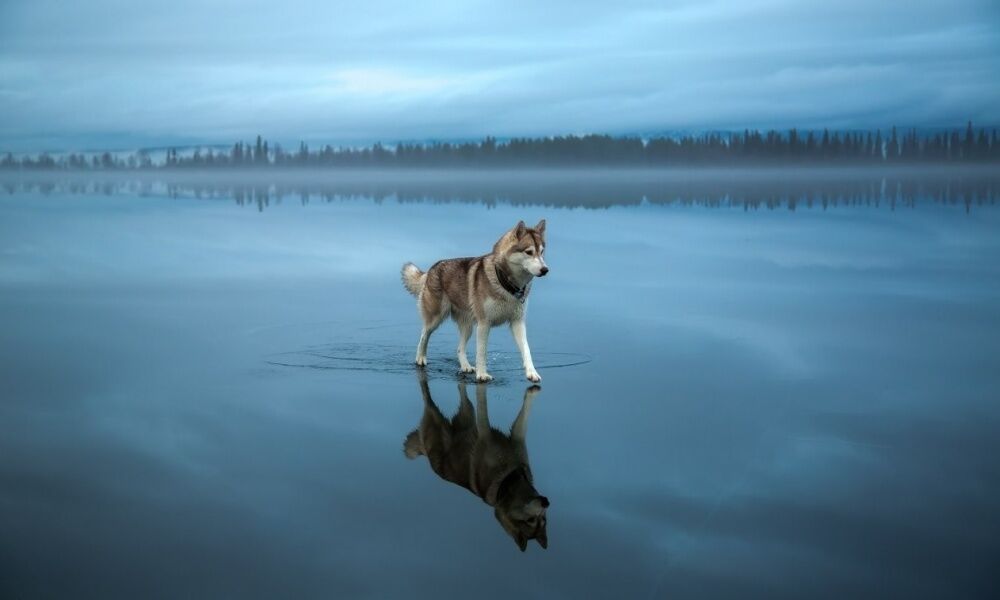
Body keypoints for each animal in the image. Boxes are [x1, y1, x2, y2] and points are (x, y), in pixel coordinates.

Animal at [402, 218, 552, 382]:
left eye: (542, 252)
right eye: (529, 252)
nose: (545, 270)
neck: (506, 284)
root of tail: (431, 269)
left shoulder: (517, 322)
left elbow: (526, 349)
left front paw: (532, 373)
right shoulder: (484, 324)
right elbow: (482, 352)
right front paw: (482, 375)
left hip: (468, 327)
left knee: (459, 348)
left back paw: (466, 366)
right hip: (435, 319)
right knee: (423, 335)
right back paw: (420, 359)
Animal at [404, 370, 552, 552]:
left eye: (543, 520)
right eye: (530, 520)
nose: (547, 502)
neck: (510, 478)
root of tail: (426, 454)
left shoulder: (517, 438)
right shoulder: (484, 433)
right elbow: (483, 410)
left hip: (467, 413)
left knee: (463, 396)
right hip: (434, 415)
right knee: (426, 396)